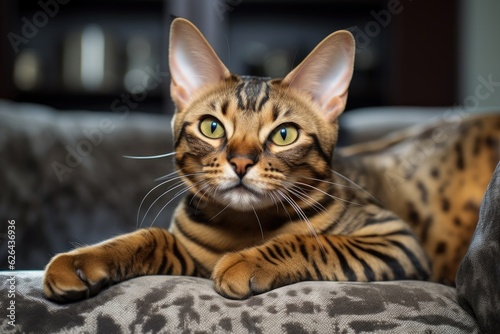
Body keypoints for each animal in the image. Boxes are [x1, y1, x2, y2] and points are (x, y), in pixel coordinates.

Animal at [43, 17, 500, 300]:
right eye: (212, 128)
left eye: (284, 134)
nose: (242, 162)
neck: (245, 226)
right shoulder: (187, 253)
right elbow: (146, 237)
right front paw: (83, 260)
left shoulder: (396, 239)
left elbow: (315, 242)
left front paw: (246, 261)